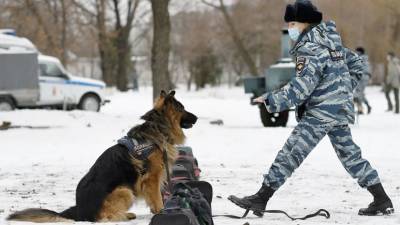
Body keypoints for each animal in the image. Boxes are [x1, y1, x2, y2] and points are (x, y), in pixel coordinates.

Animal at [7, 90, 198, 222]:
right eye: (182, 108)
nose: (196, 118)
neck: (158, 127)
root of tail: (79, 209)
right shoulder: (152, 178)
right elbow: (157, 199)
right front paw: (161, 212)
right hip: (125, 191)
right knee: (104, 218)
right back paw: (125, 215)